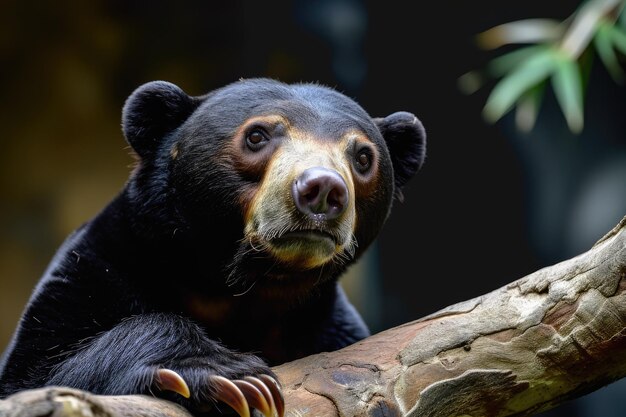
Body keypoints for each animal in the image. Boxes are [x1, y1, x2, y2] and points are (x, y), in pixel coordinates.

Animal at [0, 79, 424, 416]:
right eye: (257, 136)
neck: (239, 287)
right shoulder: (96, 269)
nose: (322, 189)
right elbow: (35, 376)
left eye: (363, 156)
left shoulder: (333, 327)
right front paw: (233, 378)